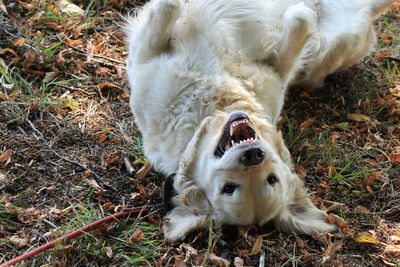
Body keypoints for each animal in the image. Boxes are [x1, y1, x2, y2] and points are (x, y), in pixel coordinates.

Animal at [125, 0, 394, 241]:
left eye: (271, 179)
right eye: (229, 188)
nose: (253, 155)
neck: (218, 104)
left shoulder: (277, 71)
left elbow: (299, 23)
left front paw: (301, 13)